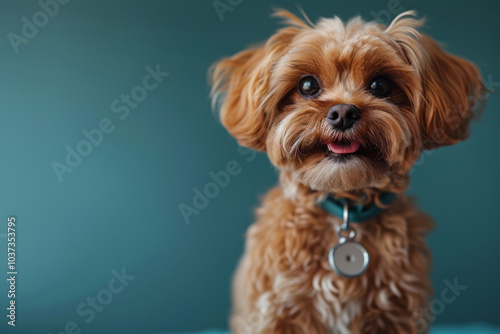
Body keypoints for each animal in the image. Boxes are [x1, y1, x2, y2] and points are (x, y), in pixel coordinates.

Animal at [209, 9, 482, 334]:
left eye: (380, 86)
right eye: (307, 86)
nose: (343, 112)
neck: (345, 208)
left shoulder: (397, 313)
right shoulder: (275, 311)